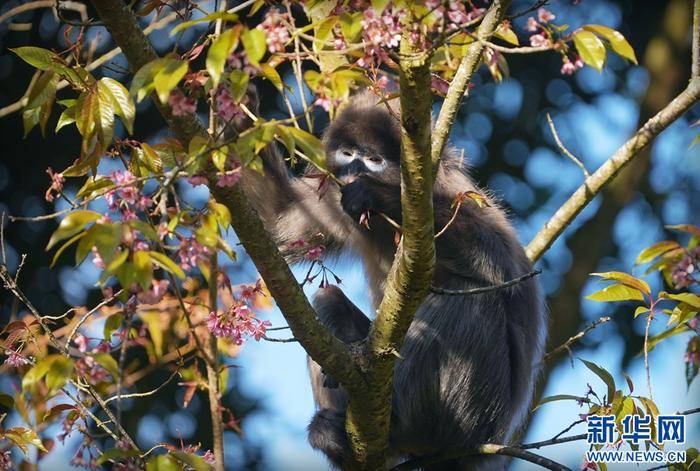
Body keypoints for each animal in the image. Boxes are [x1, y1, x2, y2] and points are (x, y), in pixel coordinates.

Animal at [238, 90, 548, 470]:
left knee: (471, 294)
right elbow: (277, 224)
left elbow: (506, 267)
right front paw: (232, 110)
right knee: (328, 299)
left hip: (474, 415)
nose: (354, 170)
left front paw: (377, 195)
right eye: (348, 154)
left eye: (373, 159)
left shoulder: (454, 193)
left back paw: (399, 418)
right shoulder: (331, 200)